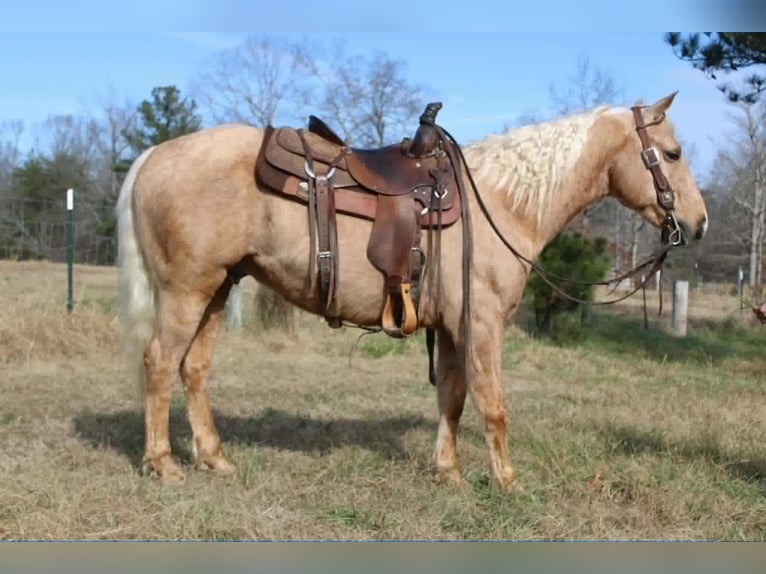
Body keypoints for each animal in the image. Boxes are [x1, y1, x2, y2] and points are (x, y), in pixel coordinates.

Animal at [116, 92, 708, 489]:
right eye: (673, 153)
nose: (698, 223)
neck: (500, 202)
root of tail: (154, 155)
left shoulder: (449, 326)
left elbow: (453, 397)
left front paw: (448, 471)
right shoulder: (482, 321)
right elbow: (492, 401)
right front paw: (507, 479)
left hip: (217, 289)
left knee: (194, 369)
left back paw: (213, 457)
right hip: (186, 291)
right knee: (159, 362)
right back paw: (162, 463)